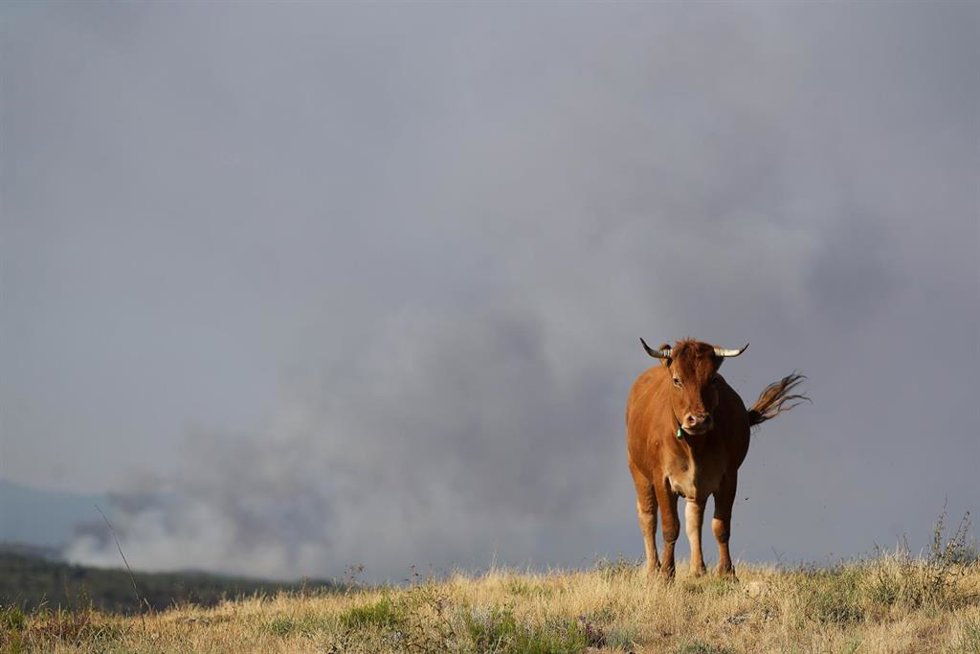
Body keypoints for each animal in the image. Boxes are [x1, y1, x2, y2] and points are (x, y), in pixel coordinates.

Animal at [626, 338, 806, 579]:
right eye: (677, 380)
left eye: (712, 379)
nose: (698, 419)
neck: (693, 445)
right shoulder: (662, 479)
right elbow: (670, 527)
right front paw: (666, 575)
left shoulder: (727, 477)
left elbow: (720, 527)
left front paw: (727, 573)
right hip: (639, 472)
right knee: (648, 517)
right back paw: (654, 568)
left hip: (697, 487)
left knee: (693, 520)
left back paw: (698, 569)